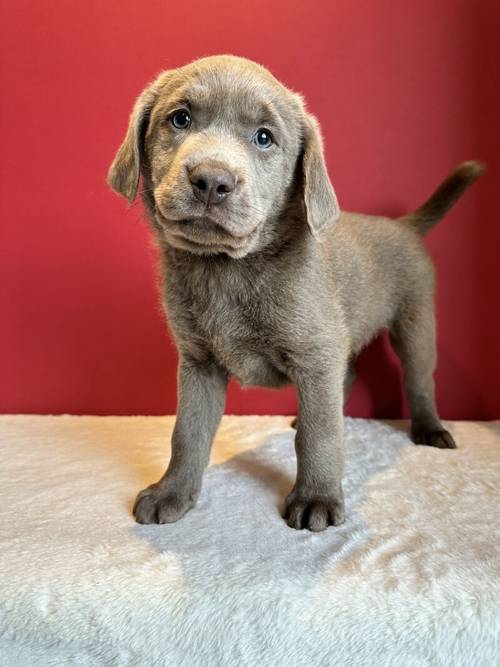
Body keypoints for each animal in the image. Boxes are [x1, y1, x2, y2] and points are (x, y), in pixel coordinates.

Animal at [107, 54, 482, 532]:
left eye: (264, 138)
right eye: (180, 118)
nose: (212, 180)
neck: (228, 269)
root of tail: (404, 226)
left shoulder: (316, 354)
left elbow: (319, 435)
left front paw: (316, 498)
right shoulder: (198, 362)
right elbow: (187, 432)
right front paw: (172, 493)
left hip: (415, 323)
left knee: (418, 380)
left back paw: (430, 428)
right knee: (350, 375)